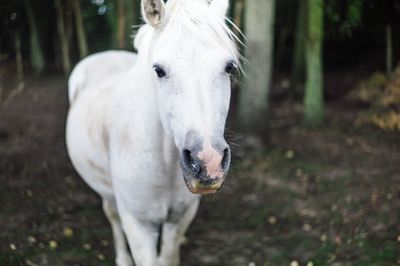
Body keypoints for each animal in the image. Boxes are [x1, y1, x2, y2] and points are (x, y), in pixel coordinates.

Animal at [66, 0, 238, 266]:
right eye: (158, 70)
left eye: (229, 66)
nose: (208, 162)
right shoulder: (139, 227)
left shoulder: (179, 218)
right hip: (109, 194)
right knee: (113, 216)